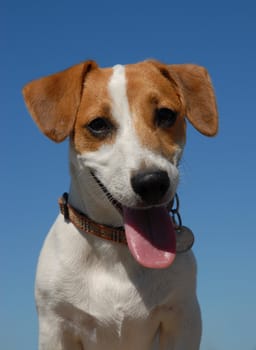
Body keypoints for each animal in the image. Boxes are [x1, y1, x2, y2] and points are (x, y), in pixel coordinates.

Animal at [23, 58, 217, 348]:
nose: (152, 182)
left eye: (166, 115)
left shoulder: (183, 319)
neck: (116, 246)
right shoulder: (55, 325)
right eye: (98, 124)